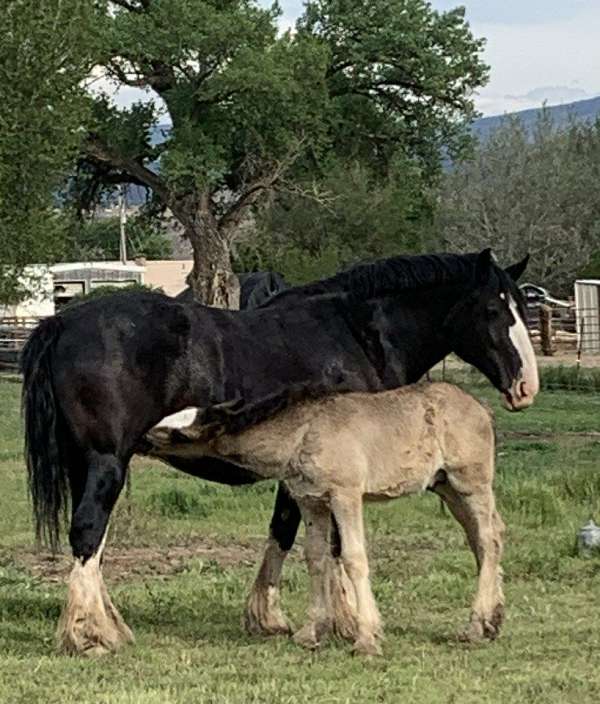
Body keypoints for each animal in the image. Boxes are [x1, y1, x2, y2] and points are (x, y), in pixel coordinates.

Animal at [125, 382, 503, 657]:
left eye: (176, 433)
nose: (138, 436)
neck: (301, 435)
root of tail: (483, 408)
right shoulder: (311, 502)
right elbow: (316, 558)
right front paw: (311, 633)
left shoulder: (345, 495)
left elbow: (353, 558)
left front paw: (367, 638)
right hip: (446, 488)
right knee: (482, 537)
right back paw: (492, 621)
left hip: (470, 482)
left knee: (489, 538)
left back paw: (475, 626)